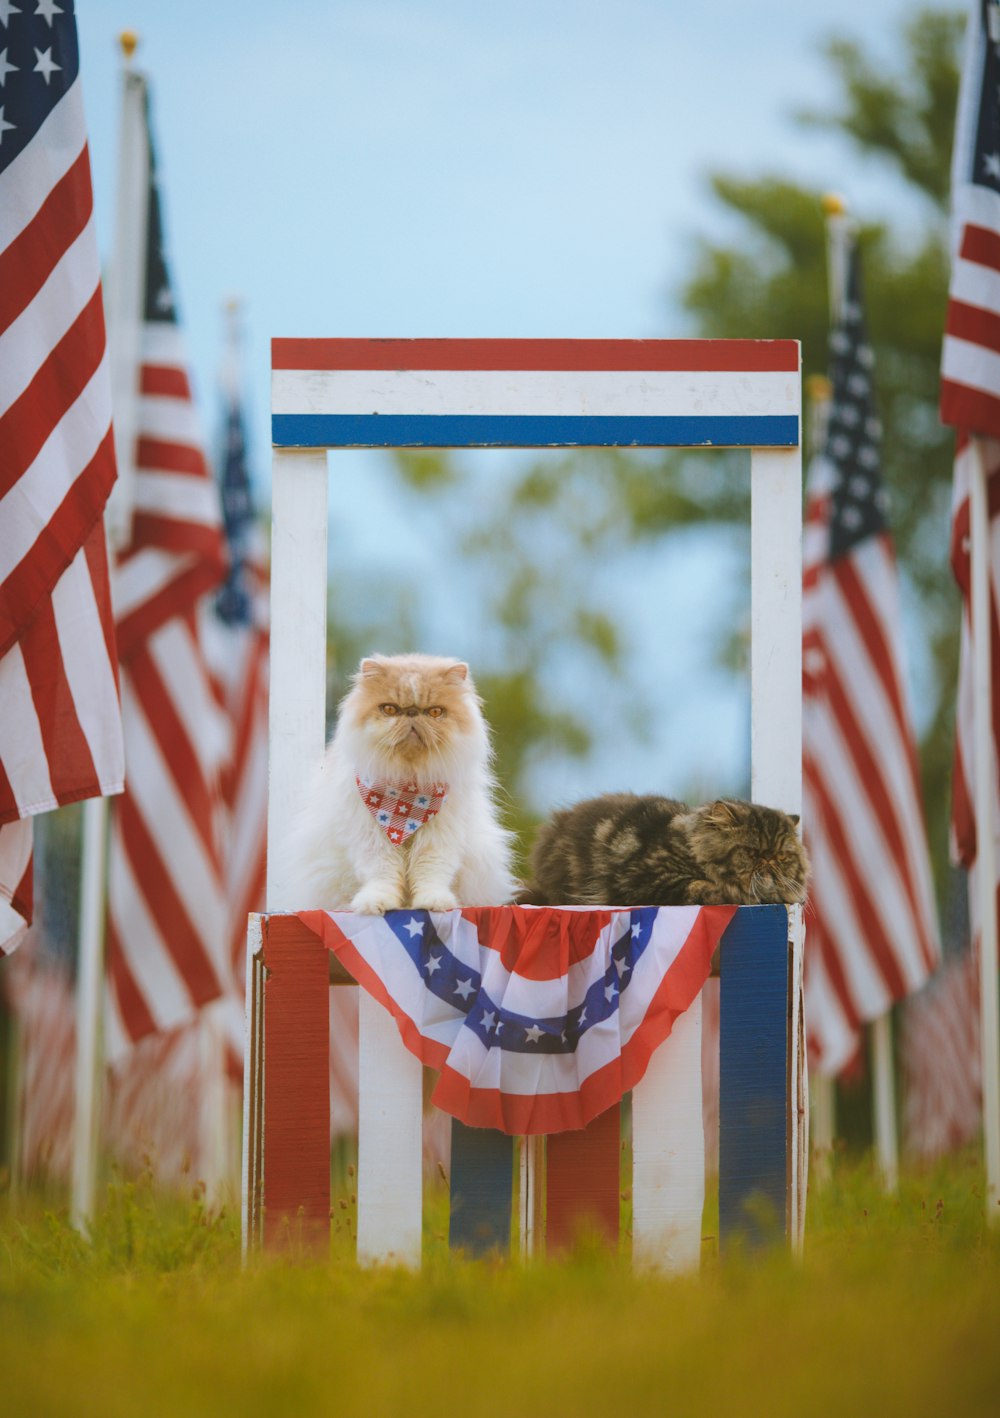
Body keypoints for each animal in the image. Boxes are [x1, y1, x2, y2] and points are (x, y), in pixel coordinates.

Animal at [280, 649, 516, 907]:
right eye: (390, 709)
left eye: (435, 712)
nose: (411, 712)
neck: (408, 788)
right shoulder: (371, 836)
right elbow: (381, 872)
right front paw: (375, 904)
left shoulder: (439, 836)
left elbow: (430, 872)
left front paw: (433, 902)